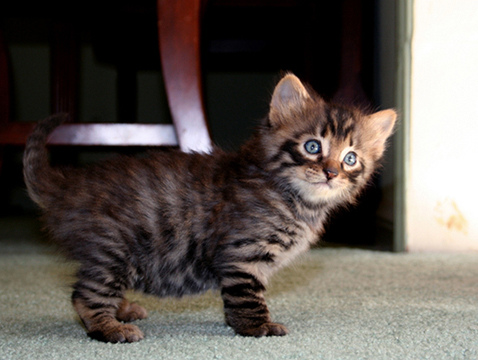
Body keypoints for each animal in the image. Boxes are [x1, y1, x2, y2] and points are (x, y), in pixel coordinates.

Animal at [22, 73, 396, 344]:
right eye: (313, 146)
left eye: (350, 158)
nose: (331, 172)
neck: (292, 199)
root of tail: (68, 185)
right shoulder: (242, 253)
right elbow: (247, 297)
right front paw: (257, 327)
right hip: (112, 249)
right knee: (84, 295)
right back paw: (110, 328)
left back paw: (122, 309)